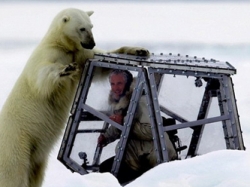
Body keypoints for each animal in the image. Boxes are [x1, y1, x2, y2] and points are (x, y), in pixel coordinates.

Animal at [0, 8, 148, 187]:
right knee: (15, 172)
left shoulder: (81, 54)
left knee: (36, 172)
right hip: (17, 141)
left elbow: (101, 65)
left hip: (36, 154)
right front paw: (66, 69)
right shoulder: (48, 55)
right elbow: (43, 78)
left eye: (91, 26)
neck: (62, 44)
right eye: (82, 28)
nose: (91, 43)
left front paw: (139, 50)